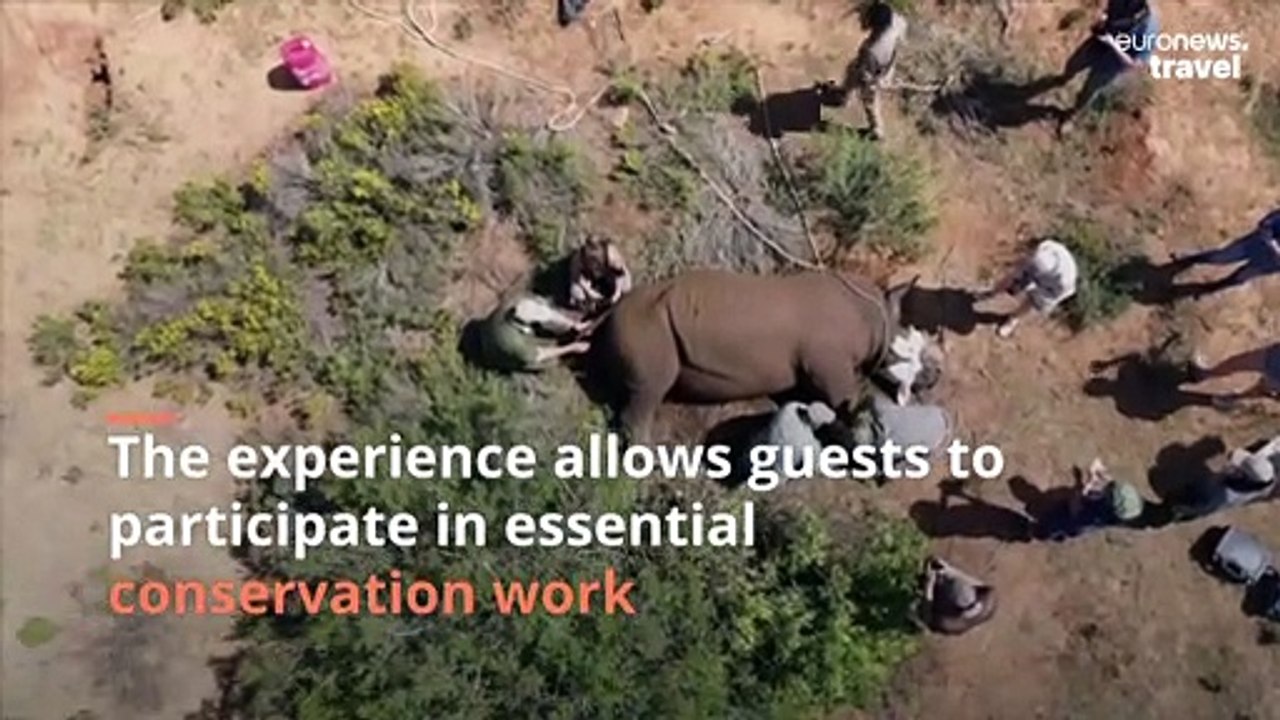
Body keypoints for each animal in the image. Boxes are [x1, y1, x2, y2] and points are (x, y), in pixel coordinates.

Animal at [588, 269, 933, 441]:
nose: (933, 378)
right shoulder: (830, 366)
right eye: (908, 350)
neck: (875, 317)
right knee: (650, 390)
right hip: (647, 320)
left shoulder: (805, 374)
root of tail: (610, 313)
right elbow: (846, 400)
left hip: (645, 318)